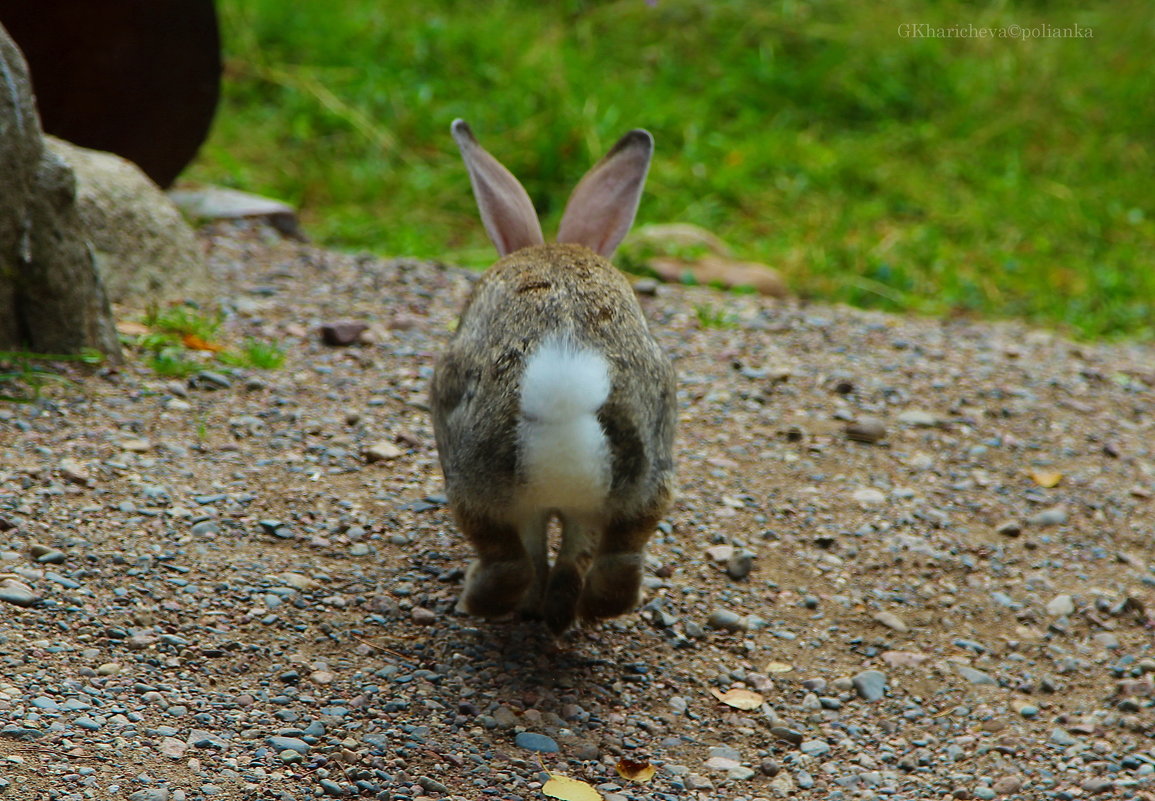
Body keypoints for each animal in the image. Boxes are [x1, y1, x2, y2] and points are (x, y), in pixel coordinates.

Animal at [429, 119, 674, 637]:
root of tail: (567, 383)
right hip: (640, 482)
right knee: (612, 561)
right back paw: (567, 614)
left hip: (479, 483)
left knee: (511, 563)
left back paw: (481, 602)